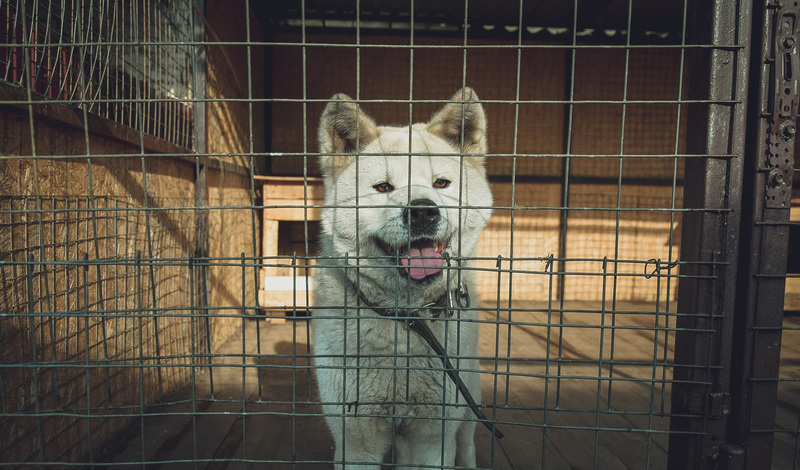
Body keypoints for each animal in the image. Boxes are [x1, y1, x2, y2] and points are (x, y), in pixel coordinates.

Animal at [312, 89, 494, 470]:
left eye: (441, 183)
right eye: (383, 187)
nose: (422, 211)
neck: (408, 320)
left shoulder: (433, 434)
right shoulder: (356, 437)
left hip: (468, 399)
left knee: (467, 443)